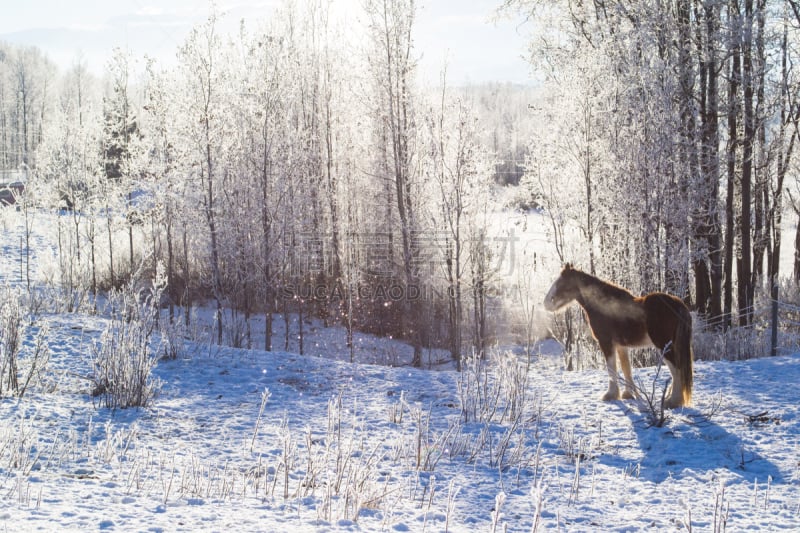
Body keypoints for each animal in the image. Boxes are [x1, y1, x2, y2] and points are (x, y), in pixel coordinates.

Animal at [544, 264, 692, 408]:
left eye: (562, 283)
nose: (546, 303)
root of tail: (677, 303)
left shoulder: (606, 342)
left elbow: (611, 368)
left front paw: (611, 395)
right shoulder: (621, 346)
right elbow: (626, 368)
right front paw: (628, 394)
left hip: (663, 346)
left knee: (676, 370)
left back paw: (672, 401)